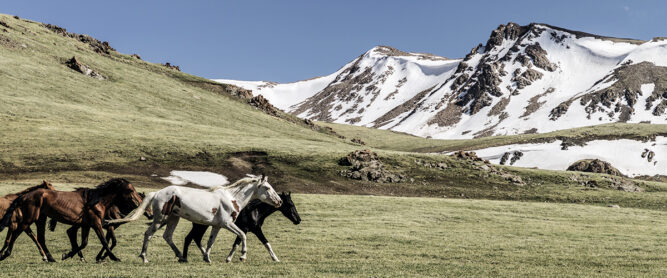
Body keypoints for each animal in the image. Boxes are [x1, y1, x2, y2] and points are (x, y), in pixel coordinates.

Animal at [0, 178, 142, 262]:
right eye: (130, 190)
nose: (139, 202)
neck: (96, 201)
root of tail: (24, 196)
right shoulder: (95, 223)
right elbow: (104, 242)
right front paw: (114, 257)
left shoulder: (86, 225)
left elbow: (83, 243)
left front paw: (67, 255)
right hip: (29, 219)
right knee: (17, 233)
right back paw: (5, 254)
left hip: (40, 219)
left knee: (40, 238)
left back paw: (50, 258)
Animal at [106, 175, 282, 262]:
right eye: (267, 188)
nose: (279, 201)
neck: (231, 198)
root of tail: (157, 193)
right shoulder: (228, 224)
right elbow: (243, 235)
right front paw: (243, 256)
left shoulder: (217, 226)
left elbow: (210, 241)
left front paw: (207, 258)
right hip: (160, 219)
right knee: (148, 234)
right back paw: (144, 258)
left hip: (172, 219)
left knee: (167, 236)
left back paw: (181, 257)